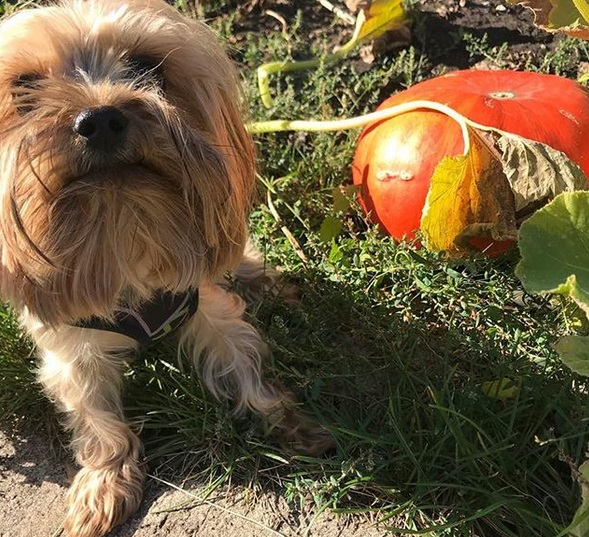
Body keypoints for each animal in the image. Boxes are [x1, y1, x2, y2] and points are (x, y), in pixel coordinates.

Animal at [0, 2, 330, 532]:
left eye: (146, 67)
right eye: (25, 88)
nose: (100, 119)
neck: (119, 226)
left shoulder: (206, 306)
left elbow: (246, 365)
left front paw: (291, 423)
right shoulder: (72, 348)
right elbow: (98, 420)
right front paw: (103, 486)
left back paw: (267, 283)